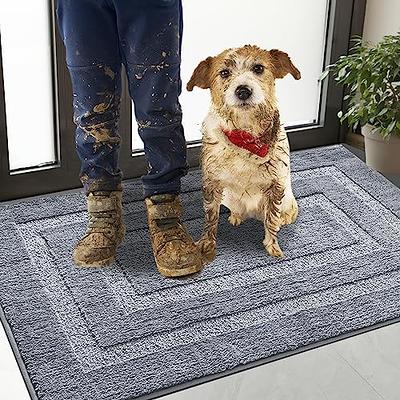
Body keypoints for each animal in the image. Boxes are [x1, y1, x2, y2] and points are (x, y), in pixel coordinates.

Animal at [188, 44, 300, 262]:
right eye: (224, 73)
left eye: (258, 68)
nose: (243, 91)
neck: (245, 134)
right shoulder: (212, 184)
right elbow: (210, 217)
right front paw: (206, 243)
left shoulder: (276, 186)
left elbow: (271, 220)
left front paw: (272, 246)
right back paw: (236, 216)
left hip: (288, 201)